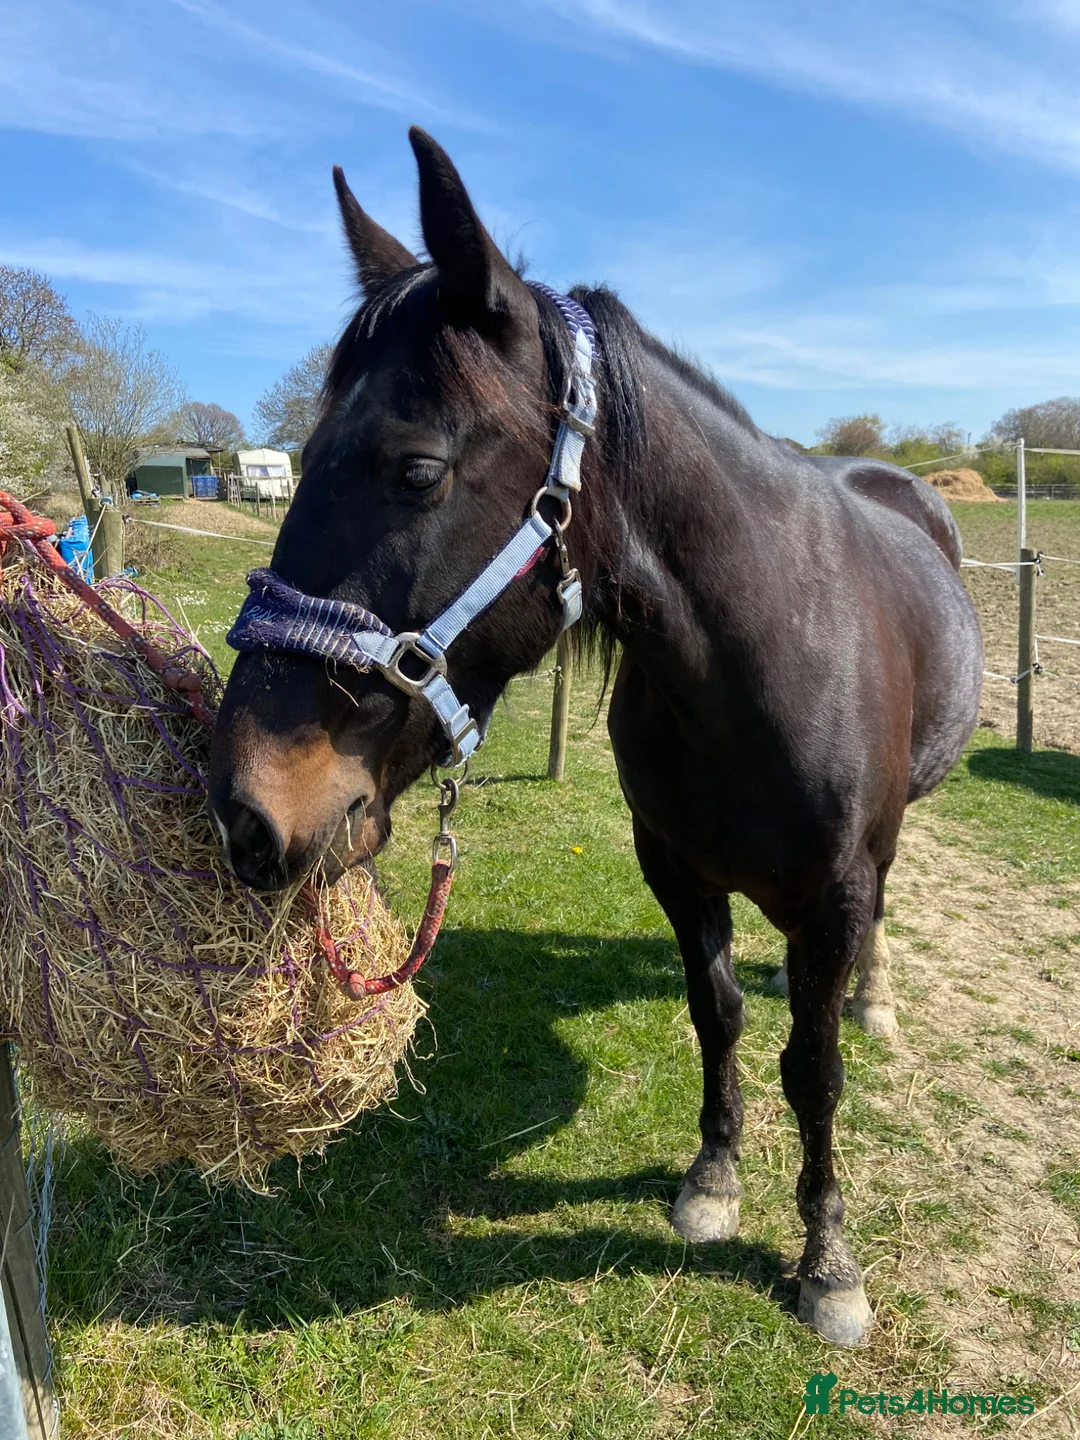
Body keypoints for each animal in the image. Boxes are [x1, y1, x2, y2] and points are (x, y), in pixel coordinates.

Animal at [208, 128, 984, 1347]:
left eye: (415, 469)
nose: (245, 809)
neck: (757, 664)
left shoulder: (834, 892)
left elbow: (814, 1070)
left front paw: (827, 1263)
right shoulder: (674, 868)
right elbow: (717, 1014)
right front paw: (713, 1180)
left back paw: (875, 995)